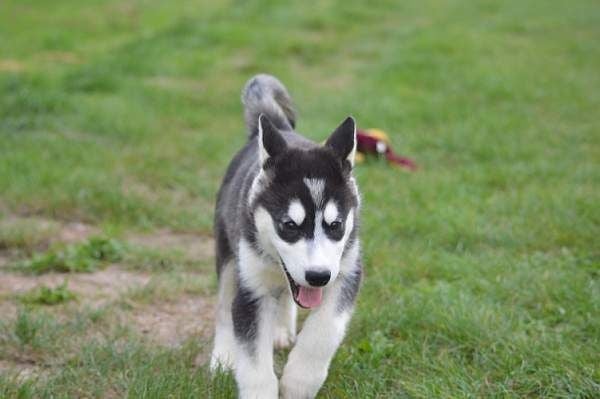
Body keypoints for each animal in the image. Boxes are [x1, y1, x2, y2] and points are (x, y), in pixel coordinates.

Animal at [211, 75, 360, 399]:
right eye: (289, 226)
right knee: (224, 305)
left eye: (336, 225)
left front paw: (299, 382)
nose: (318, 276)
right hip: (227, 252)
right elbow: (253, 359)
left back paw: (280, 329)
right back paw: (223, 356)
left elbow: (324, 330)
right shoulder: (251, 288)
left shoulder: (347, 272)